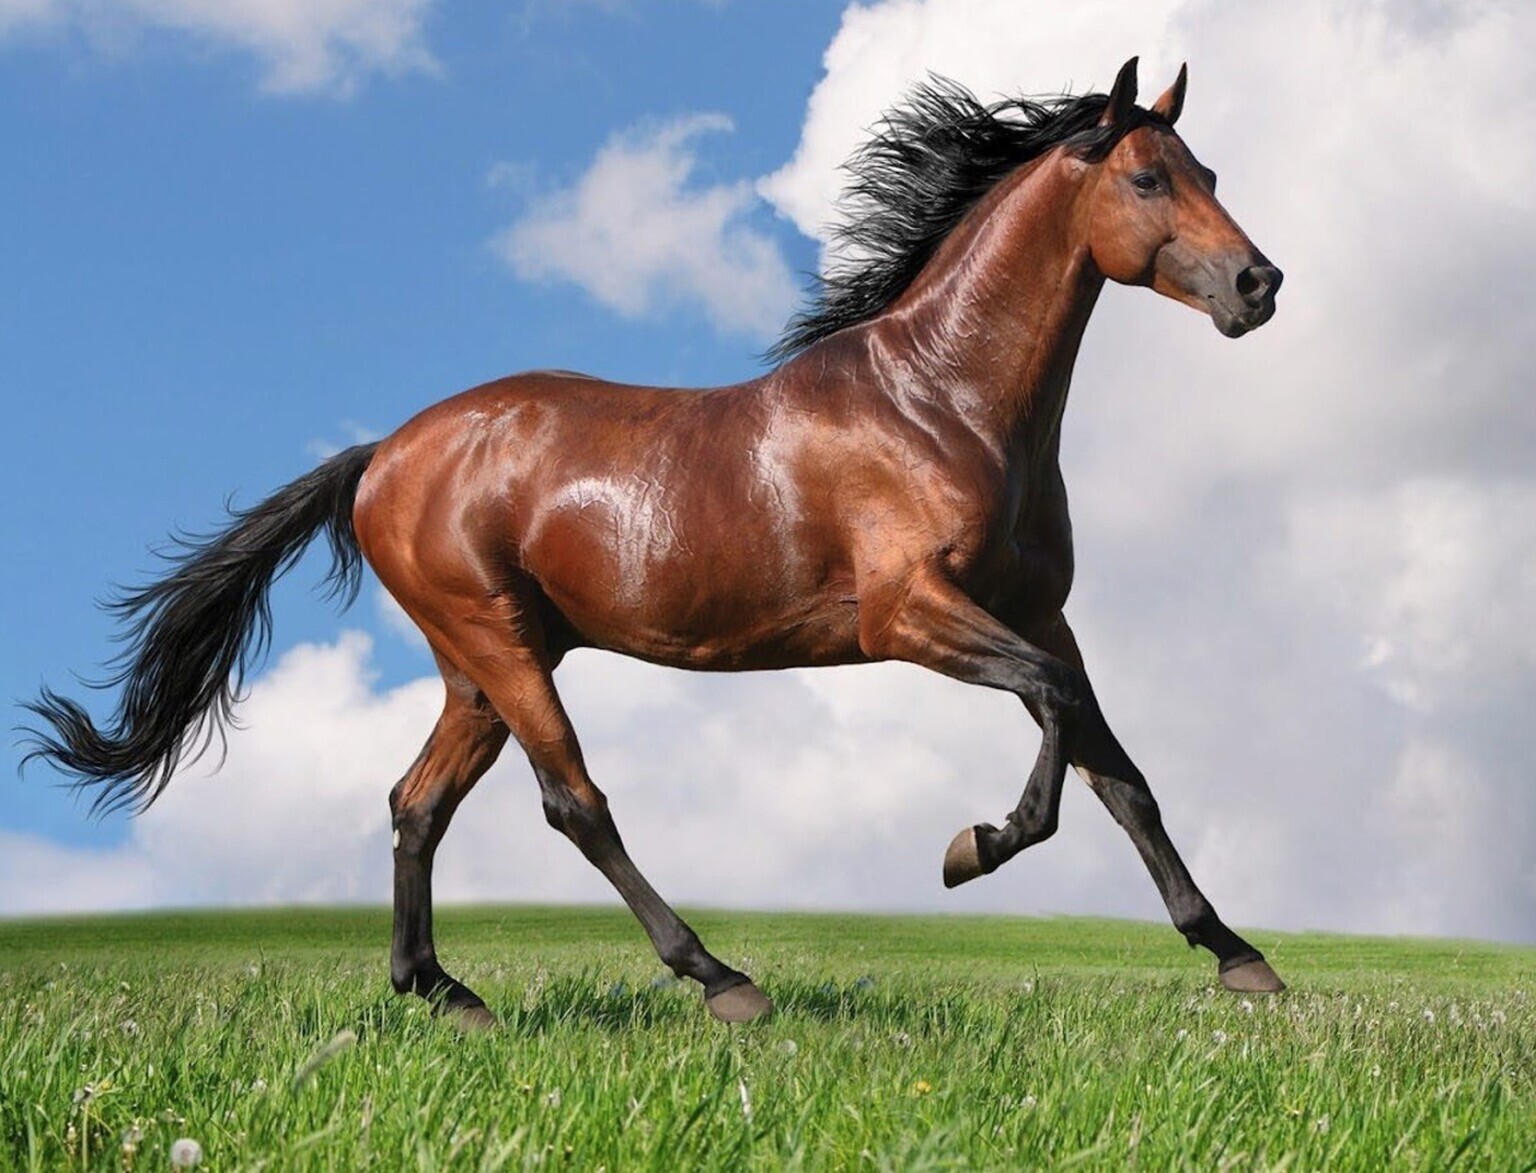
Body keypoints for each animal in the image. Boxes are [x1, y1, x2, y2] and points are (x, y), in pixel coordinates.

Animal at [24, 58, 1285, 1026]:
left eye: (1211, 173)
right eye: (1147, 176)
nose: (1258, 283)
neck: (942, 402)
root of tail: (383, 454)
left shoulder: (1038, 612)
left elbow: (1119, 771)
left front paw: (1238, 956)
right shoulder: (909, 614)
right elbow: (1059, 725)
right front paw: (972, 846)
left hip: (479, 664)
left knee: (417, 802)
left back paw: (445, 994)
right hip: (498, 644)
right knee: (572, 800)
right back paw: (721, 980)